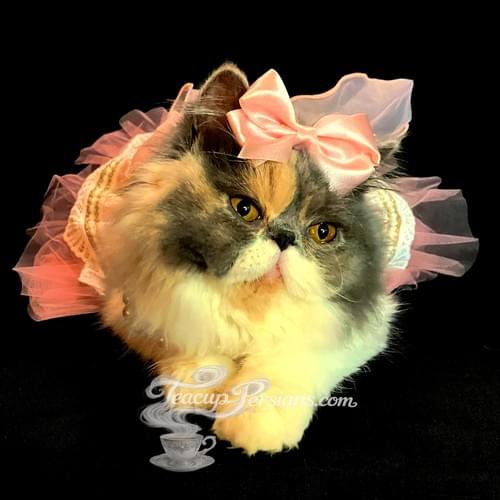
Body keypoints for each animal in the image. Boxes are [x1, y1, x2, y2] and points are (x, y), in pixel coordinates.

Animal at [95, 63, 399, 455]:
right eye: (245, 209)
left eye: (322, 232)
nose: (284, 238)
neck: (251, 306)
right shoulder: (128, 309)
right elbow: (197, 340)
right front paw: (196, 388)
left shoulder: (360, 328)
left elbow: (282, 365)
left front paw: (255, 424)